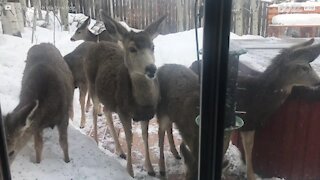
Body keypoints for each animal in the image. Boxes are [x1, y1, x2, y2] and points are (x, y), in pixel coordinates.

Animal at [84, 10, 165, 177]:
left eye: (153, 46)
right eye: (132, 48)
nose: (151, 69)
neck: (140, 102)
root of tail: (97, 44)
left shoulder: (147, 114)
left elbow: (145, 137)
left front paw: (150, 169)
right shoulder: (123, 112)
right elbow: (129, 138)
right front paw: (130, 171)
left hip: (109, 97)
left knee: (106, 111)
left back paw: (119, 151)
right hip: (92, 85)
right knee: (95, 111)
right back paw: (96, 141)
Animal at [236, 38, 320, 180]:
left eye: (311, 66)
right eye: (303, 67)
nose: (318, 81)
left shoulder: (250, 123)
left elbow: (249, 147)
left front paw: (251, 175)